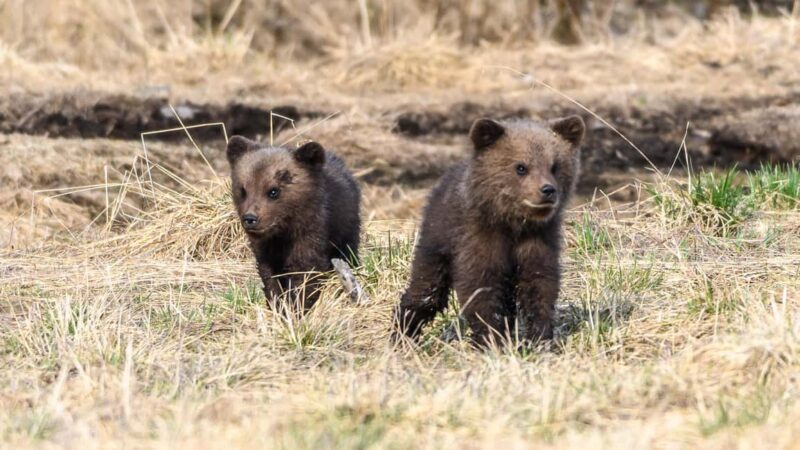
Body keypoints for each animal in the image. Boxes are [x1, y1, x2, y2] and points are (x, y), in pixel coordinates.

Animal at [226, 135, 361, 310]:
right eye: (243, 190)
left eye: (273, 191)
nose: (250, 218)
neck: (284, 232)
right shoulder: (265, 249)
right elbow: (269, 276)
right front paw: (278, 304)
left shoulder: (310, 233)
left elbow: (306, 271)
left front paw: (300, 306)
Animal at [393, 115, 585, 346]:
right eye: (521, 167)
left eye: (555, 166)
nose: (547, 190)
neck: (512, 224)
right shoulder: (479, 238)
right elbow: (480, 288)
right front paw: (492, 339)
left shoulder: (538, 240)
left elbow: (540, 284)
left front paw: (539, 337)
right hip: (438, 238)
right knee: (427, 288)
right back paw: (403, 333)